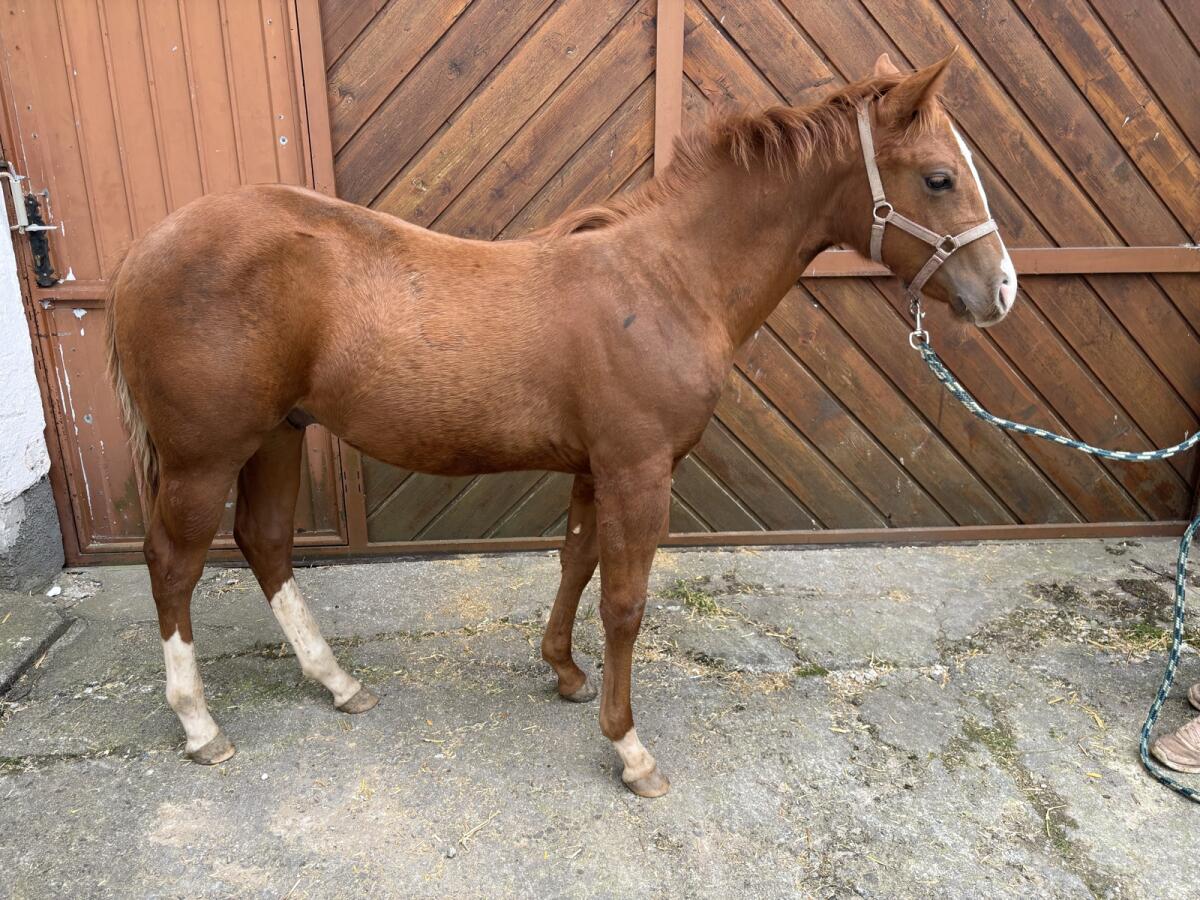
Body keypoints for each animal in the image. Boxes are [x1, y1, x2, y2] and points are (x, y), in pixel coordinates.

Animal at [105, 51, 1015, 797]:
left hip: (278, 435)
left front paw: (566, 673)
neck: (666, 279)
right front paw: (630, 748)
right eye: (940, 177)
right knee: (174, 564)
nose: (1000, 291)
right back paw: (200, 724)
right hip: (203, 457)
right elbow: (625, 600)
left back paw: (337, 683)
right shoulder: (639, 471)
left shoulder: (593, 467)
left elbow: (576, 563)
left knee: (264, 543)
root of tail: (143, 248)